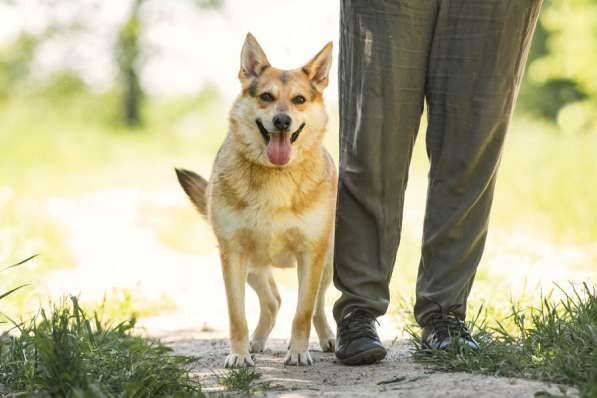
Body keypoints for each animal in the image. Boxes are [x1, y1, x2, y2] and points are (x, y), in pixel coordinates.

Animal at [176, 33, 336, 366]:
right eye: (266, 96)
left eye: (299, 100)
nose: (282, 120)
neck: (276, 174)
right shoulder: (233, 255)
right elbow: (237, 315)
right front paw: (239, 355)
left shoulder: (310, 254)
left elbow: (303, 312)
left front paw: (298, 352)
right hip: (253, 267)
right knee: (273, 301)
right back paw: (257, 342)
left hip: (326, 262)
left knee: (316, 304)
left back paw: (326, 337)